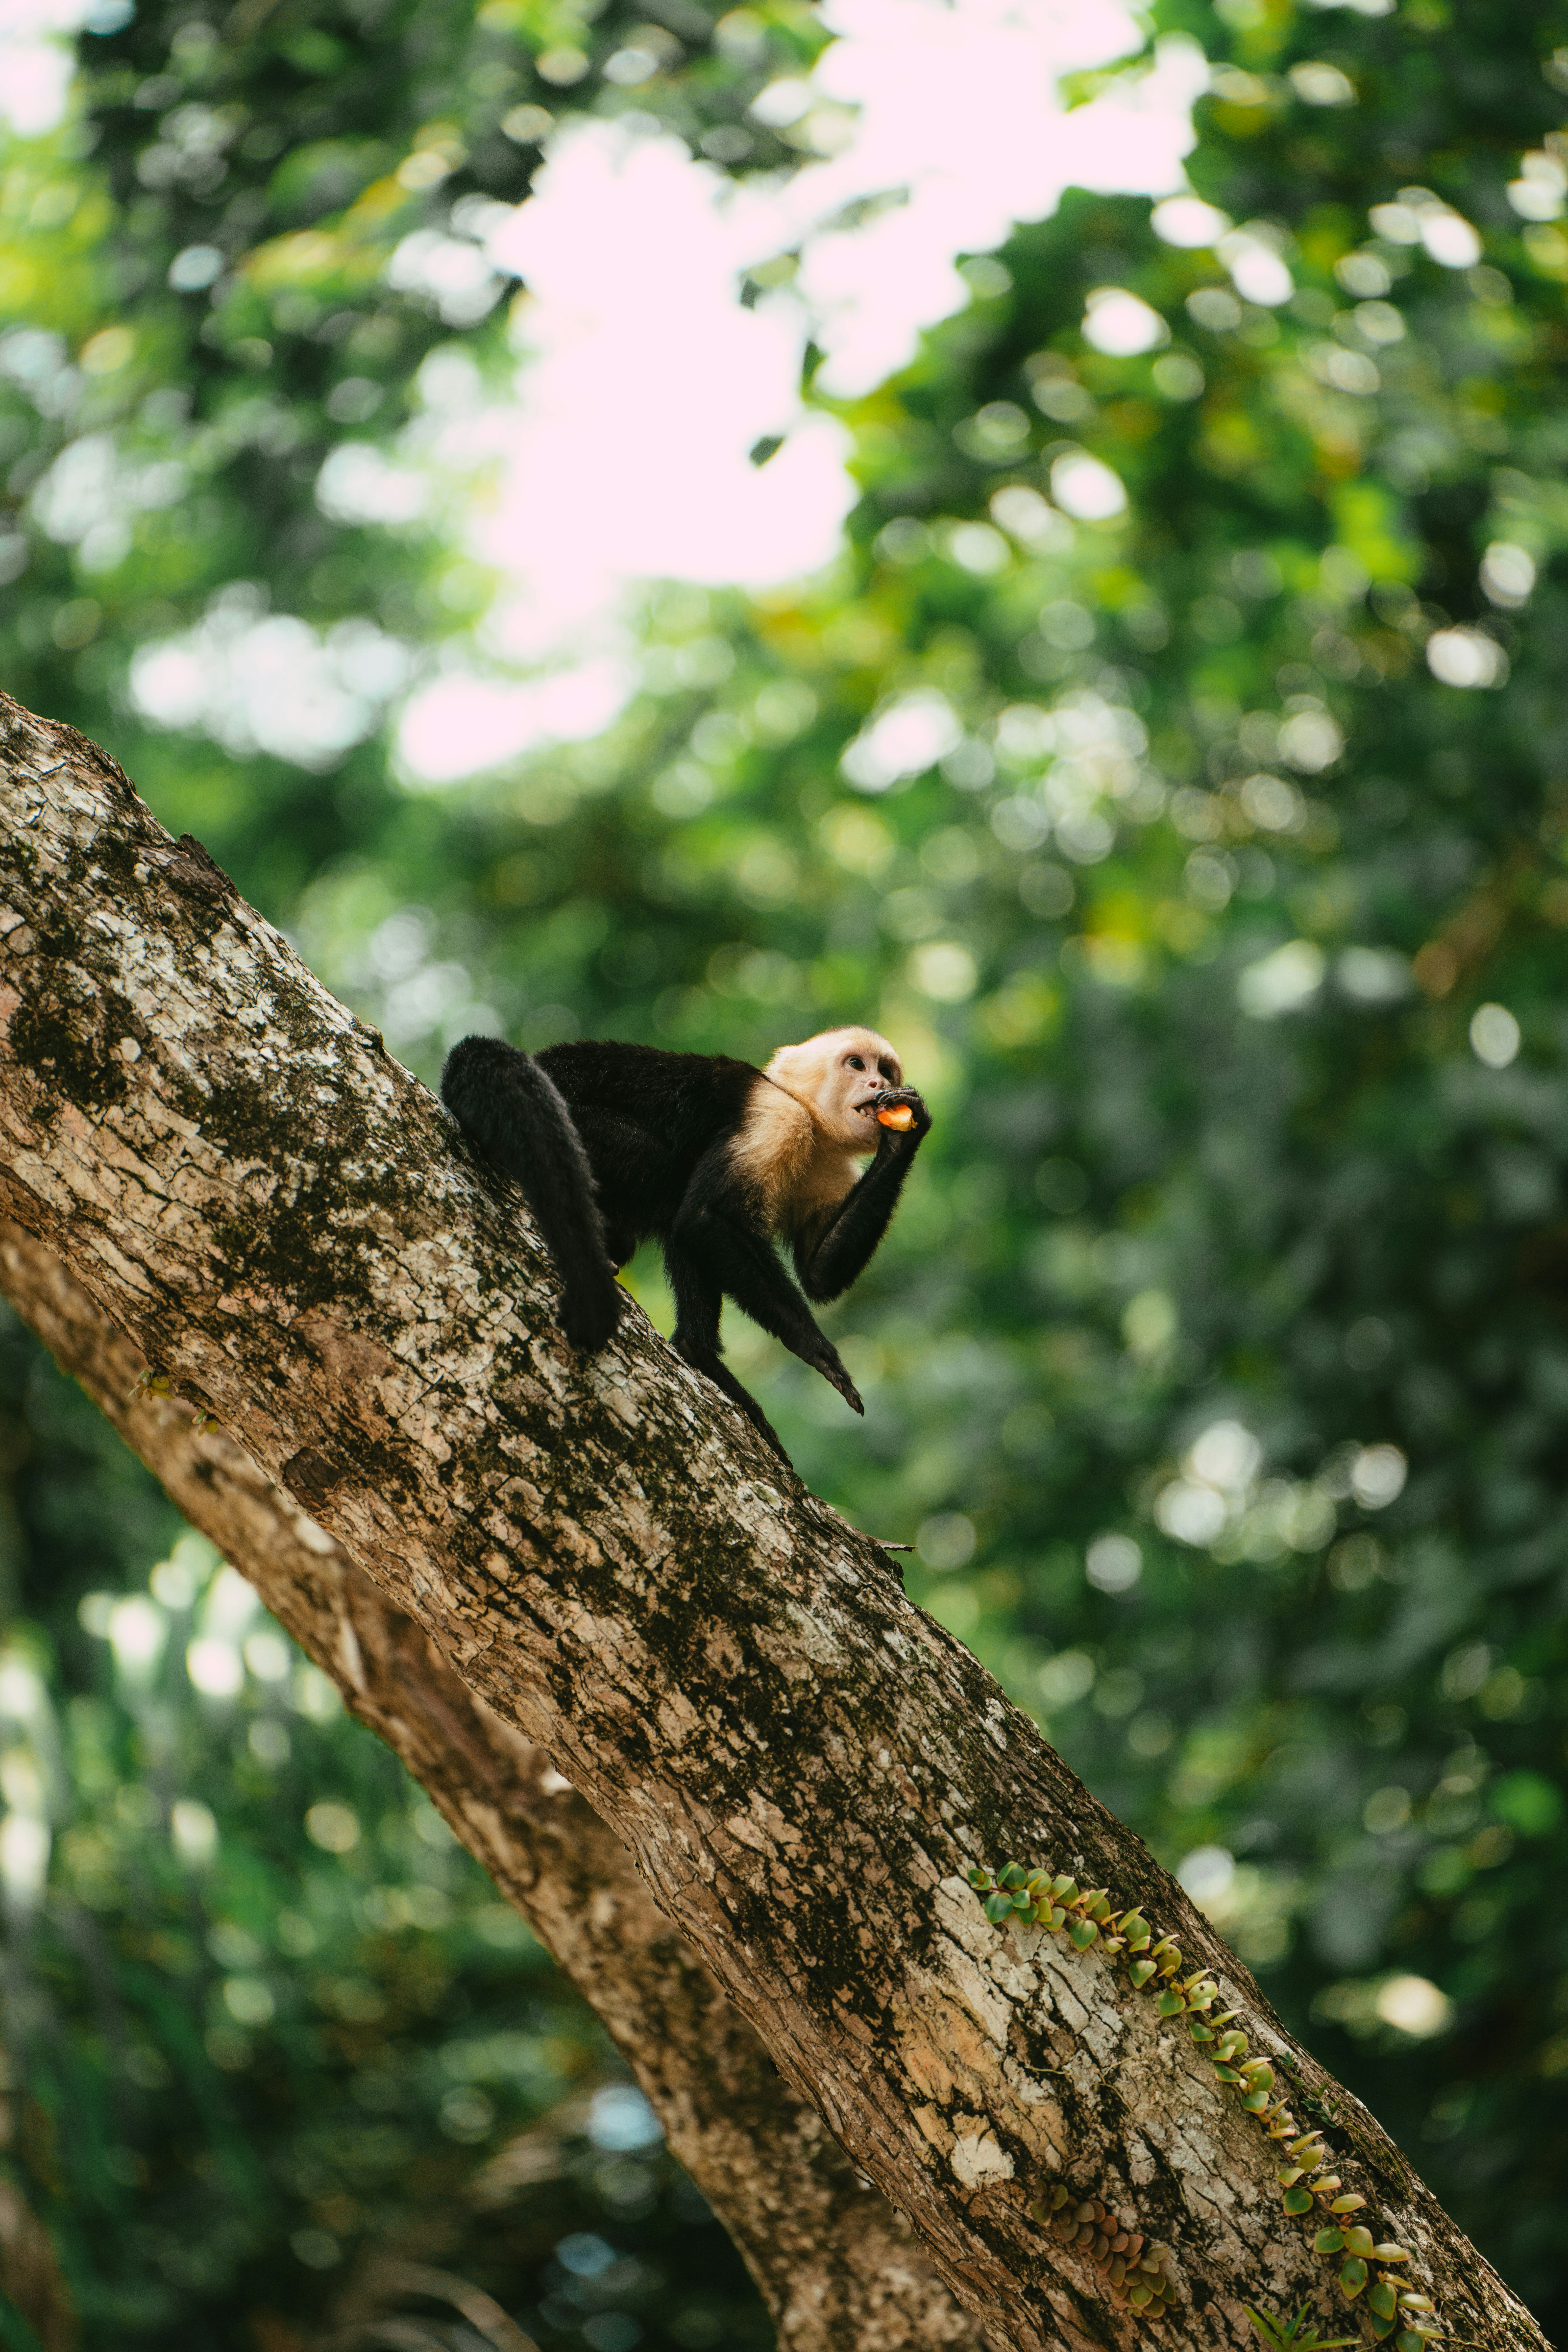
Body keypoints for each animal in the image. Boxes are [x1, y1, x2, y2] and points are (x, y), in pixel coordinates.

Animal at [439, 1024, 931, 1462]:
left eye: (888, 1071)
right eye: (857, 1064)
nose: (879, 1084)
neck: (811, 1121)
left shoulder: (832, 1165)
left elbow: (819, 1275)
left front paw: (906, 1134)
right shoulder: (775, 1117)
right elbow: (703, 1218)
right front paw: (817, 1350)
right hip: (573, 1123)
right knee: (673, 1189)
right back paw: (698, 1352)